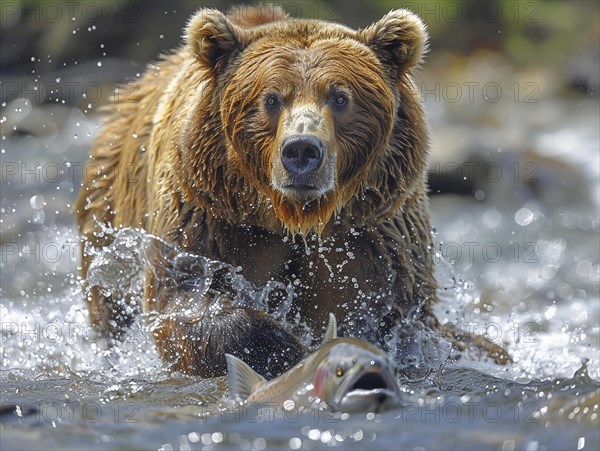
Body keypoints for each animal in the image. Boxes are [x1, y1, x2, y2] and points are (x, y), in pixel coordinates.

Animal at [75, 5, 506, 380]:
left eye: (340, 96)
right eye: (270, 98)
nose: (301, 149)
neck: (293, 217)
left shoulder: (374, 233)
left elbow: (403, 315)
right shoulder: (209, 215)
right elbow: (181, 298)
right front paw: (285, 347)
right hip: (108, 207)